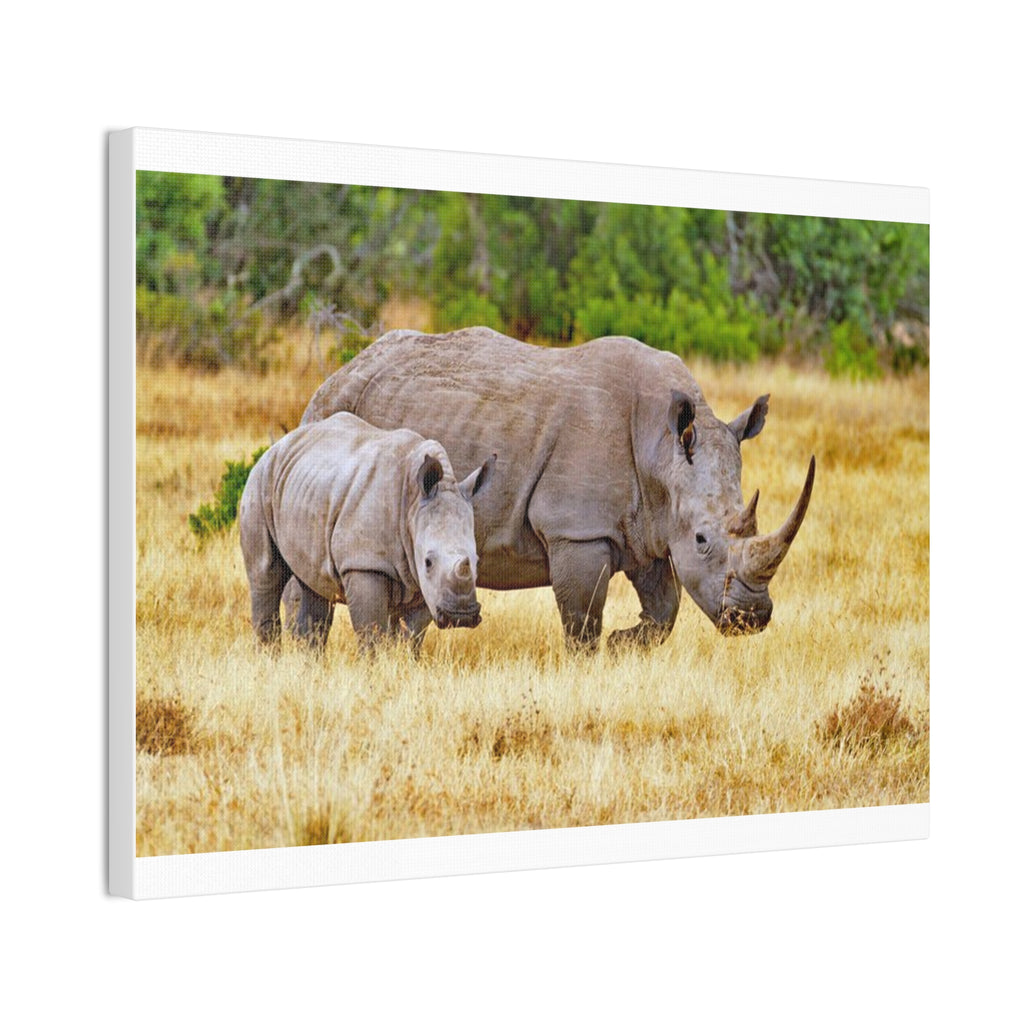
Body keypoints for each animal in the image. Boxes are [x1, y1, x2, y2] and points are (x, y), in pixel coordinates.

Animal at [239, 411, 495, 652]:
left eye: (476, 561)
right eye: (428, 562)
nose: (460, 617)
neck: (412, 503)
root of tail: (279, 445)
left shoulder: (424, 581)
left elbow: (412, 635)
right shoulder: (364, 563)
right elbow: (371, 631)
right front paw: (372, 665)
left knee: (314, 585)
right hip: (260, 481)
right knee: (266, 573)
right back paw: (269, 656)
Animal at [295, 327, 815, 651]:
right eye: (703, 540)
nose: (752, 618)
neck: (661, 448)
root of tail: (335, 374)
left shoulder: (647, 525)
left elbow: (665, 610)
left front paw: (624, 643)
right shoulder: (577, 530)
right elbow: (582, 619)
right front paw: (595, 658)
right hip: (331, 414)